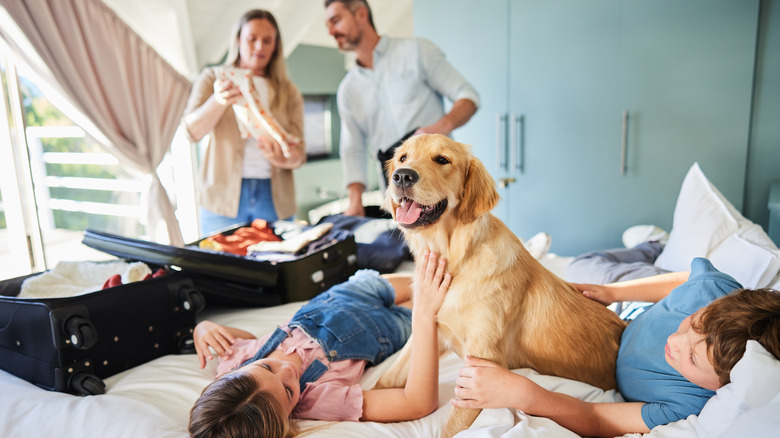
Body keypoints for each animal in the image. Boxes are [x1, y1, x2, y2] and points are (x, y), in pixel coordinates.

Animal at [374, 135, 624, 436]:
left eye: (442, 160)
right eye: (403, 158)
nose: (402, 176)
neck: (457, 261)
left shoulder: (482, 363)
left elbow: (452, 427)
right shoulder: (430, 332)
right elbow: (383, 383)